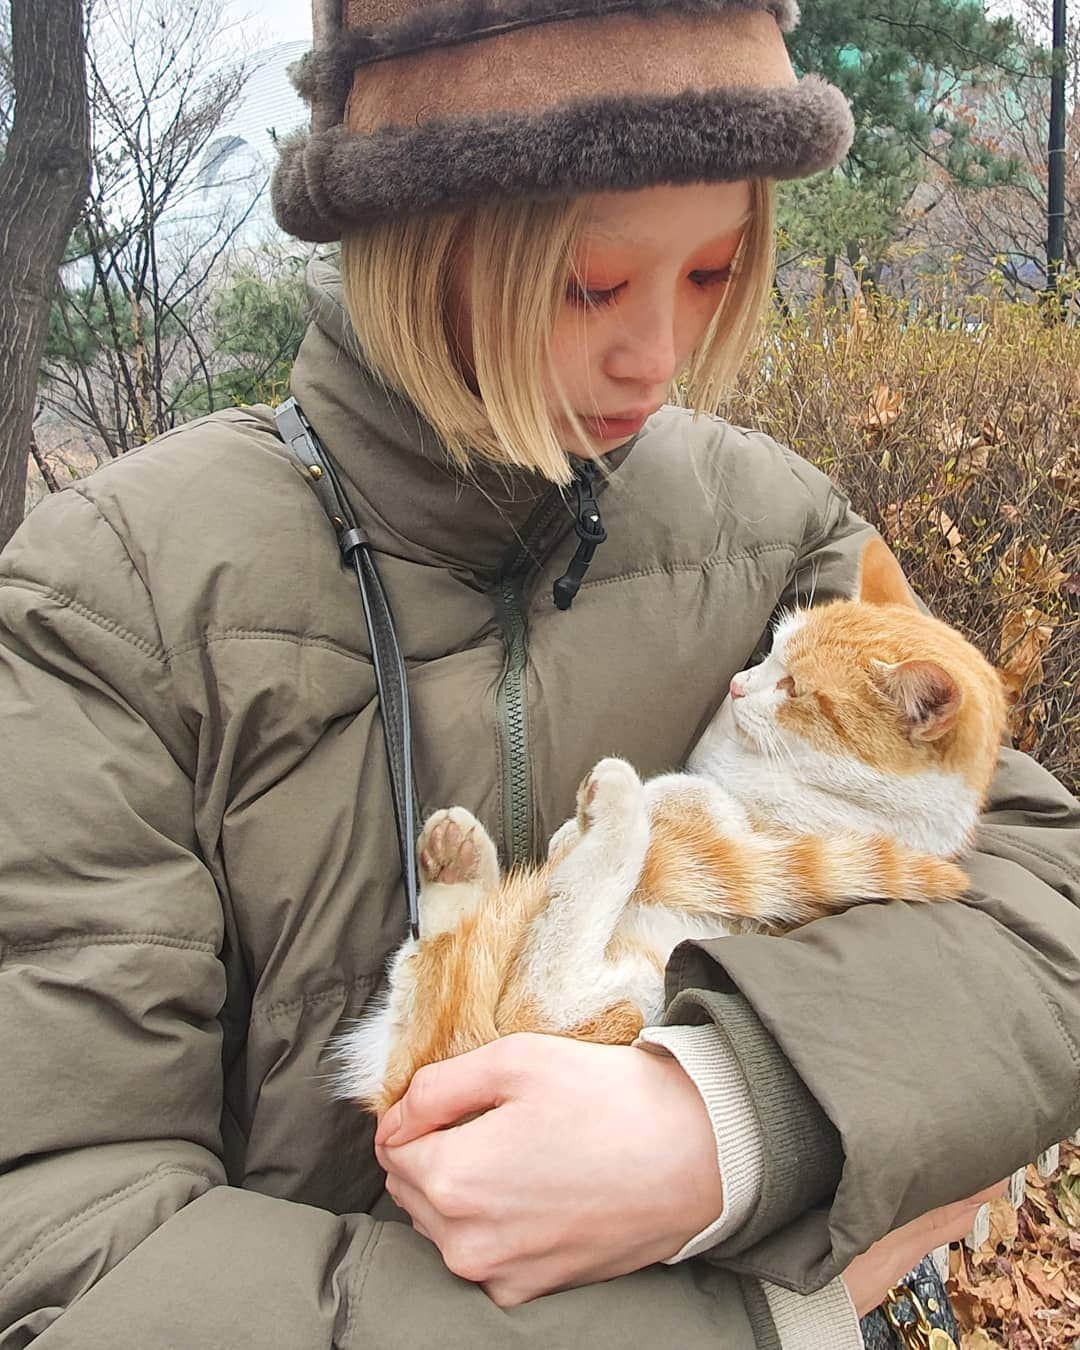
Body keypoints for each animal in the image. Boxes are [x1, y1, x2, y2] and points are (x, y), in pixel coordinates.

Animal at [333, 531, 1009, 1112]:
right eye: (773, 652)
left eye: (792, 688)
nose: (736, 685)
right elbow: (689, 789)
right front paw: (570, 831)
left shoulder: (778, 835)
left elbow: (696, 798)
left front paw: (621, 815)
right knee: (436, 982)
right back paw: (459, 868)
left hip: (636, 992)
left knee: (532, 1002)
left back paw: (612, 813)